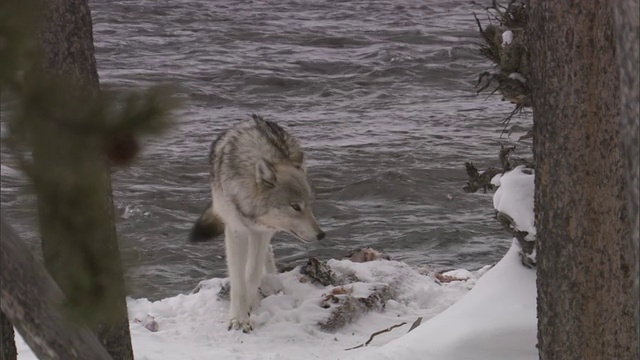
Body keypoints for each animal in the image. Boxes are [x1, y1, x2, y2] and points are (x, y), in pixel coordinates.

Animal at [188, 114, 322, 332]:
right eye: (295, 207)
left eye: (309, 205)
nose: (321, 234)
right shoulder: (236, 231)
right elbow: (238, 280)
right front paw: (238, 319)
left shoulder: (261, 231)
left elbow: (252, 272)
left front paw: (250, 307)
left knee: (266, 257)